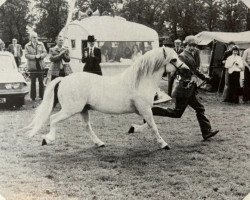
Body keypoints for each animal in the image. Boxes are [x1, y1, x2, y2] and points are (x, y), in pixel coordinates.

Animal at [23, 47, 188, 149]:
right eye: (174, 60)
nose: (187, 71)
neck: (139, 81)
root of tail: (64, 79)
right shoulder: (145, 109)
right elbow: (153, 126)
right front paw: (164, 144)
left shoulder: (144, 110)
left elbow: (148, 124)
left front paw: (133, 128)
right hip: (71, 109)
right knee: (53, 118)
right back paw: (47, 139)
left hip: (83, 109)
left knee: (86, 127)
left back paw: (99, 143)